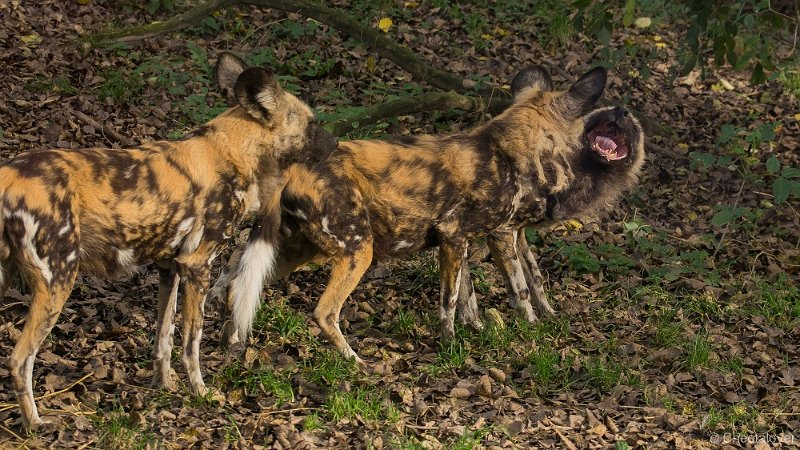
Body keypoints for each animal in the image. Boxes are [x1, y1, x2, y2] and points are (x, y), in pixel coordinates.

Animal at [0, 53, 336, 432]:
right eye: (312, 124)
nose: (337, 144)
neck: (234, 150)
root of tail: (8, 177)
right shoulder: (198, 266)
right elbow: (192, 339)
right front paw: (200, 391)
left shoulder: (170, 266)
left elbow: (164, 336)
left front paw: (164, 385)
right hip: (58, 281)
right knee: (19, 359)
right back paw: (35, 424)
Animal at [211, 65, 644, 368]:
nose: (619, 111)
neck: (506, 151)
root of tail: (294, 167)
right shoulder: (485, 234)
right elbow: (485, 295)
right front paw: (462, 343)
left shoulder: (460, 240)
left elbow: (468, 295)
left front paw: (478, 332)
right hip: (357, 252)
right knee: (322, 313)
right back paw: (355, 363)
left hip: (292, 251)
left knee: (233, 288)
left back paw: (232, 349)